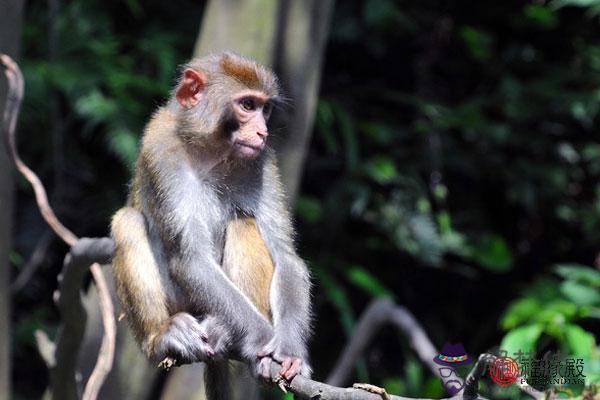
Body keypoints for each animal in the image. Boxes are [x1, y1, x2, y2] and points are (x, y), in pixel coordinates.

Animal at [109, 50, 312, 396]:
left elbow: (286, 257)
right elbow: (191, 259)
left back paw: (224, 332)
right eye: (247, 105)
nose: (262, 132)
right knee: (127, 221)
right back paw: (162, 337)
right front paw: (261, 339)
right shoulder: (162, 148)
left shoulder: (262, 161)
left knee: (243, 223)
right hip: (181, 302)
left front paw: (288, 350)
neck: (212, 150)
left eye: (265, 108)